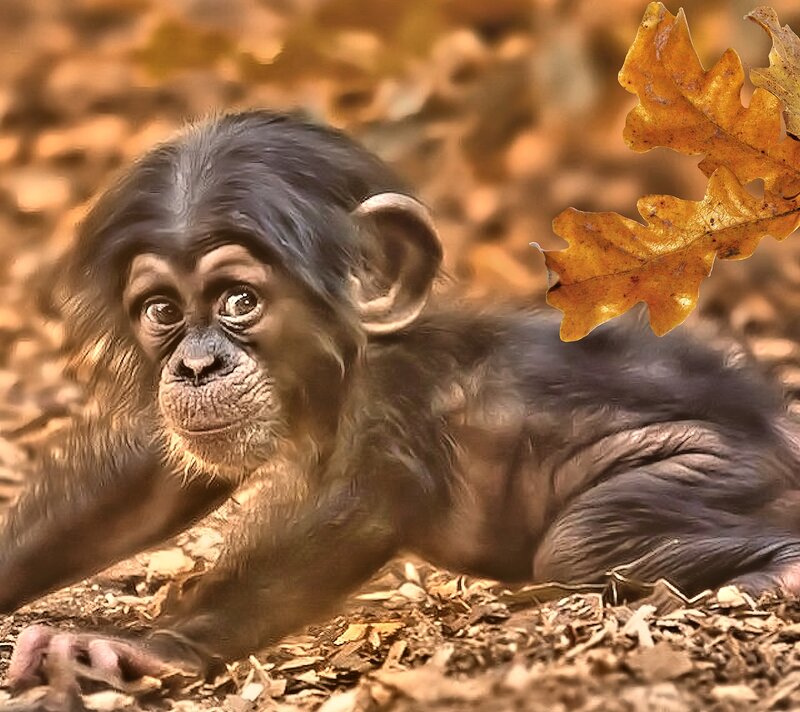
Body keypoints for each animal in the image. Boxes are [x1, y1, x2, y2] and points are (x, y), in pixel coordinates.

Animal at [3, 109, 800, 698]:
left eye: (239, 300)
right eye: (164, 311)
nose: (197, 366)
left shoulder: (394, 403)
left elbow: (351, 514)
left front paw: (144, 650)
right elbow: (156, 479)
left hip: (717, 467)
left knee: (583, 539)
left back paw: (774, 572)